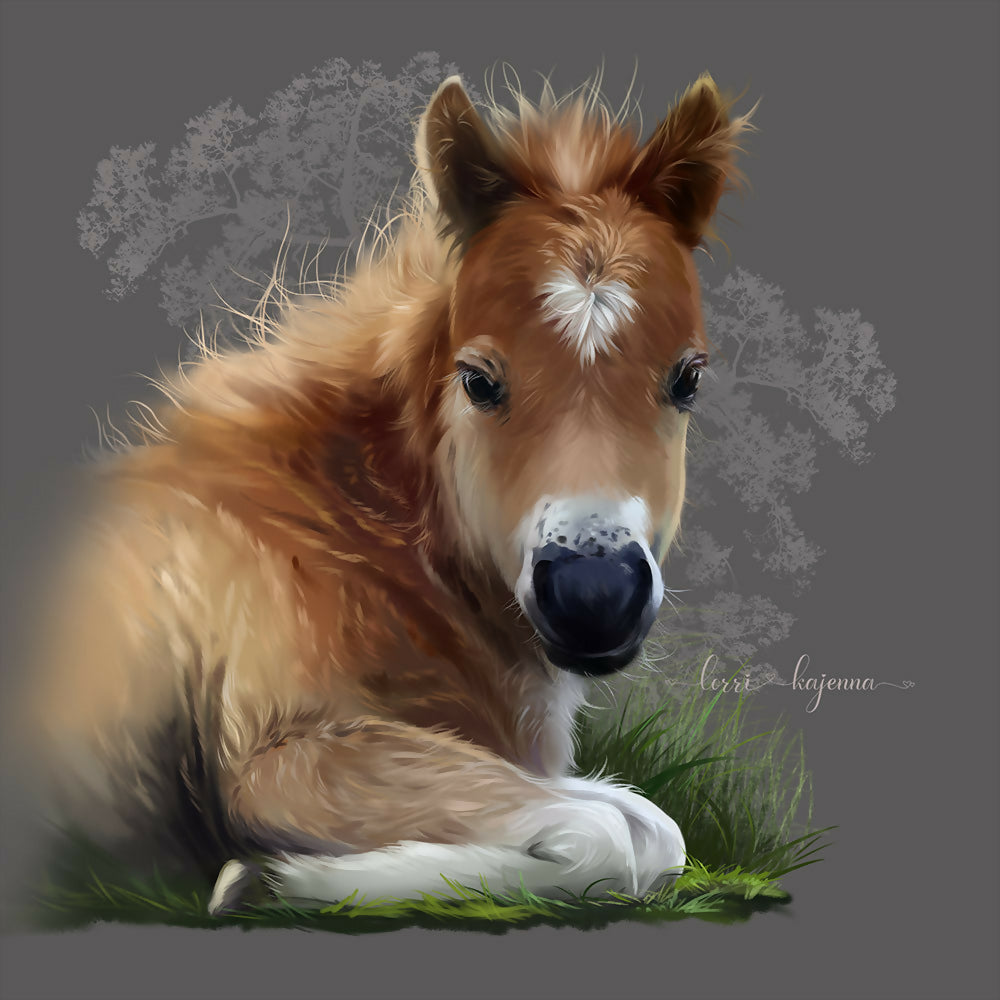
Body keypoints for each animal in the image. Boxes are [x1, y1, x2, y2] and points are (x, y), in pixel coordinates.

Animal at [29, 72, 752, 914]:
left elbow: (646, 828)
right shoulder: (275, 762)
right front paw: (264, 878)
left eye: (687, 378)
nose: (594, 597)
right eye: (478, 380)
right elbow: (610, 835)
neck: (342, 538)